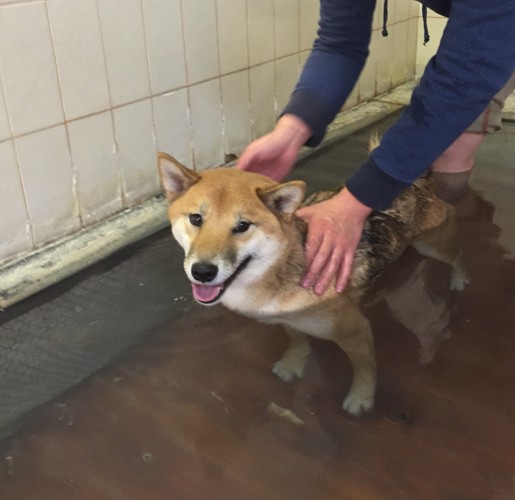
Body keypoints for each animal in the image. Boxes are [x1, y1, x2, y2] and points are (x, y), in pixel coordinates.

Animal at [157, 150, 468, 416]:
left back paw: (460, 278)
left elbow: (365, 368)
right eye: (196, 218)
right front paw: (294, 362)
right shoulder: (287, 315)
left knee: (455, 242)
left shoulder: (354, 330)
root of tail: (414, 182)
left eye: (242, 226)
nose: (203, 271)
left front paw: (361, 397)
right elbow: (296, 338)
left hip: (432, 243)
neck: (280, 270)